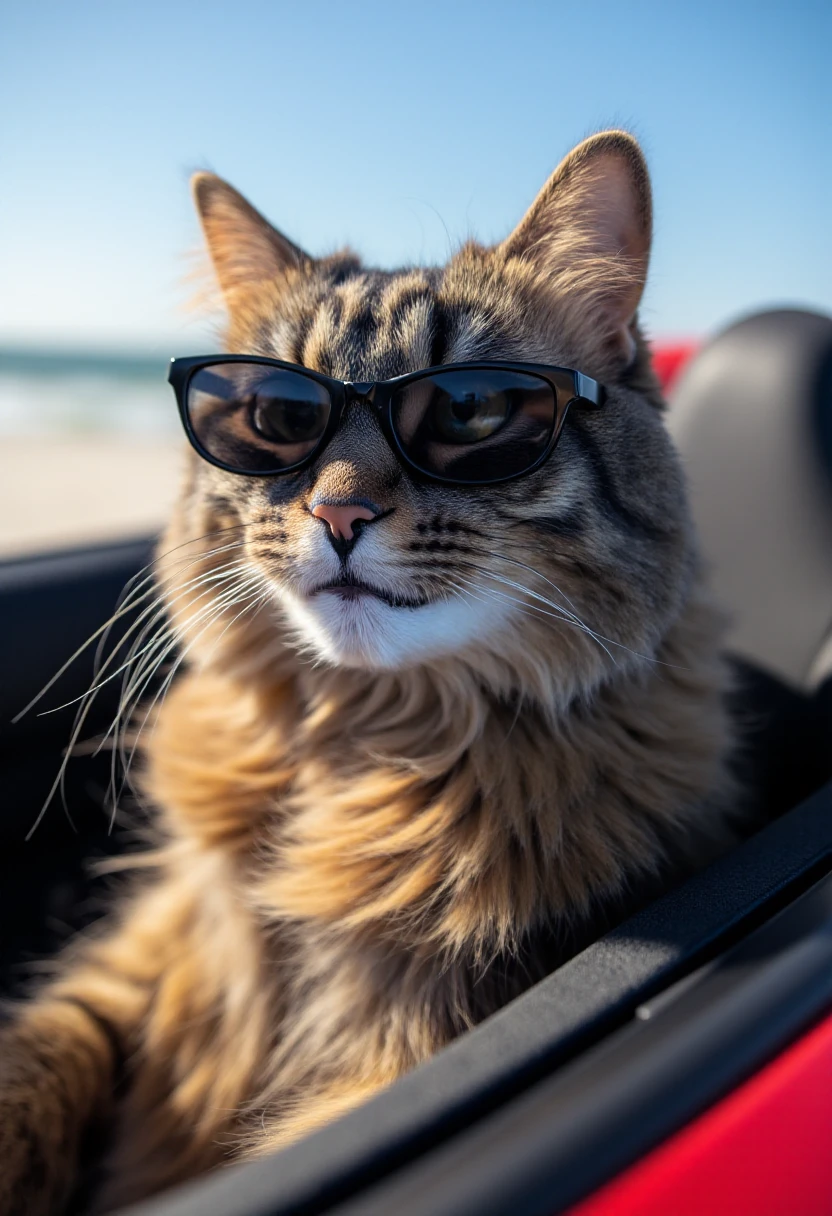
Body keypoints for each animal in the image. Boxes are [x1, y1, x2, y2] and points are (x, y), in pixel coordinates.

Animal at [0, 133, 729, 1216]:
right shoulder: (142, 955)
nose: (337, 513)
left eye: (472, 412)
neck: (354, 752)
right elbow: (45, 1047)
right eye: (274, 414)